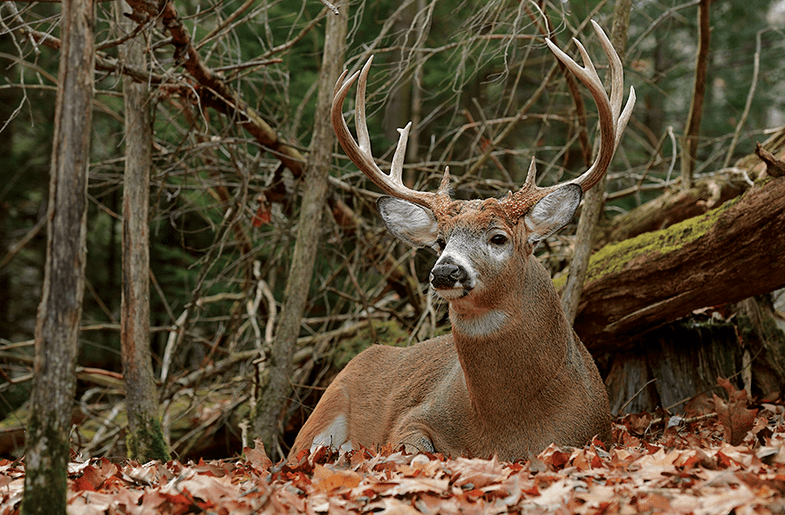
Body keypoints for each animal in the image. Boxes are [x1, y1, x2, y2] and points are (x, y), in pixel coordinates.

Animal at [289, 21, 635, 462]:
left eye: (499, 237)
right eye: (440, 241)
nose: (445, 271)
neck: (507, 429)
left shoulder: (594, 432)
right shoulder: (413, 417)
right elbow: (416, 449)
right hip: (321, 411)